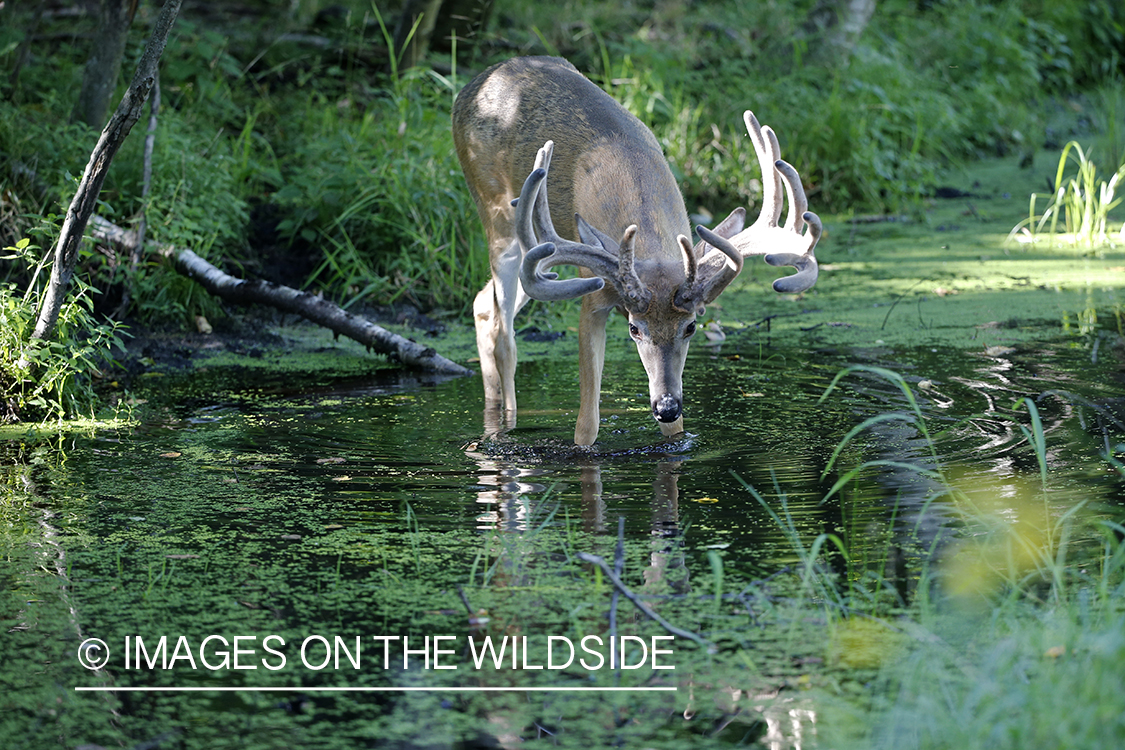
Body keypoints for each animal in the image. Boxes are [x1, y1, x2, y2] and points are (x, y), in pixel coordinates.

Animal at [452, 60, 823, 445]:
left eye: (691, 326)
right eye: (634, 328)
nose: (666, 405)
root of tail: (471, 87)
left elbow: (675, 433)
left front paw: (673, 428)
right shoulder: (594, 293)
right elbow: (587, 424)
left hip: (540, 257)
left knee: (483, 304)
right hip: (497, 216)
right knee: (503, 331)